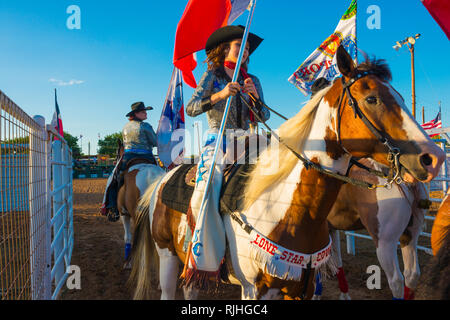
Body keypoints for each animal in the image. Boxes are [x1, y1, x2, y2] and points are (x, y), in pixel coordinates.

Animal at [312, 158, 428, 300]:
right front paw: (344, 295)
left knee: (396, 281)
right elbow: (335, 261)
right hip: (410, 236)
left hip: (385, 243)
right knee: (412, 274)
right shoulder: (330, 228)